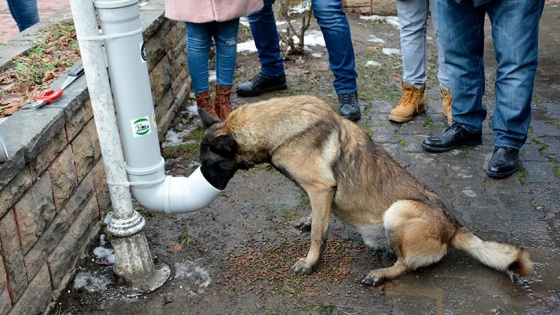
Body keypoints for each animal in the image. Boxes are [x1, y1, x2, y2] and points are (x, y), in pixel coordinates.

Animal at [198, 95, 532, 286]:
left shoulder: (321, 187)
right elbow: (317, 218)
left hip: (398, 211)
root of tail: (453, 227)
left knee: (408, 265)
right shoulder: (320, 194)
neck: (277, 128)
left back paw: (381, 275)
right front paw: (309, 220)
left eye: (210, 165)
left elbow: (319, 234)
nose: (204, 185)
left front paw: (311, 262)